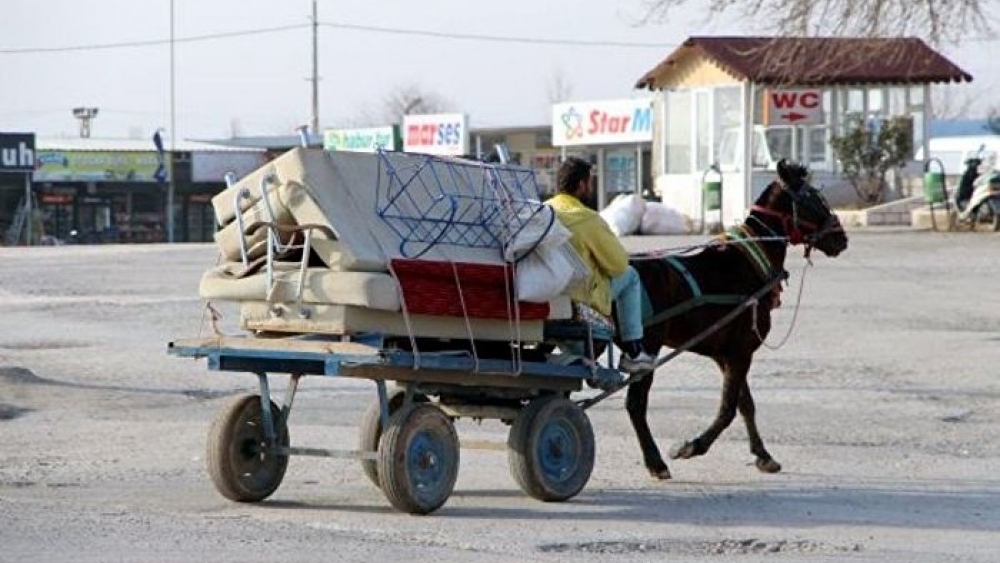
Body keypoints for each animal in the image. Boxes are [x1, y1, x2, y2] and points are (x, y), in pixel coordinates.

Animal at [628, 160, 848, 480]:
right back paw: (655, 462)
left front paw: (763, 455)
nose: (841, 238)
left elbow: (746, 404)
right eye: (813, 200)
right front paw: (693, 446)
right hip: (647, 347)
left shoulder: (727, 354)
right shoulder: (741, 351)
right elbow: (729, 408)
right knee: (635, 404)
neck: (748, 260)